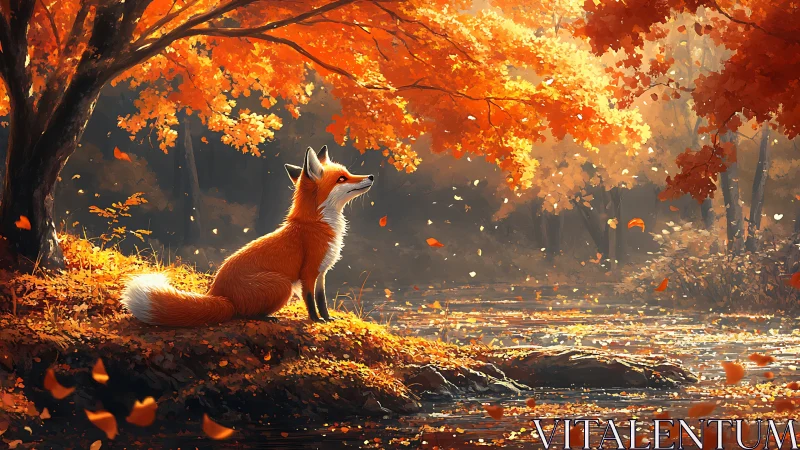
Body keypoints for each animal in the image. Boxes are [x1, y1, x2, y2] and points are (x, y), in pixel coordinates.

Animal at [121, 145, 374, 326]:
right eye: (342, 178)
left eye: (348, 173)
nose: (371, 176)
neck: (317, 224)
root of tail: (218, 294)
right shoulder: (308, 272)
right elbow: (310, 301)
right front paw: (316, 321)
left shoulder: (321, 273)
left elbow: (322, 300)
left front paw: (328, 318)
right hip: (282, 284)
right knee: (242, 314)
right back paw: (266, 317)